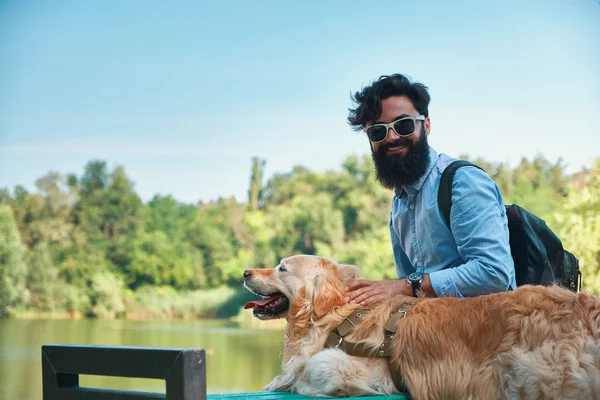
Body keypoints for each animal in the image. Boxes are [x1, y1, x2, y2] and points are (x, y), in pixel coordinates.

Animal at [241, 255, 600, 398]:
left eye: (282, 268)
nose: (245, 272)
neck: (338, 314)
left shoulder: (354, 366)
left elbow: (310, 369)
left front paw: (291, 383)